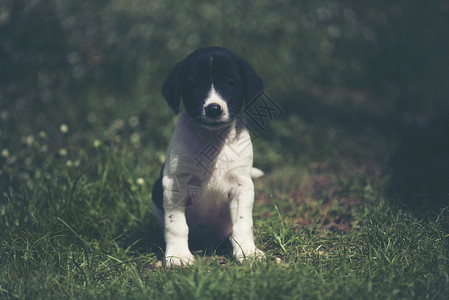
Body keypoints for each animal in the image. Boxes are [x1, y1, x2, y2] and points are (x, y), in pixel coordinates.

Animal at [152, 47, 264, 268]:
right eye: (194, 85)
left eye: (231, 82)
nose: (213, 109)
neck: (212, 139)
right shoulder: (175, 184)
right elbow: (176, 224)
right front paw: (178, 255)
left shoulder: (242, 186)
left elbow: (243, 222)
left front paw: (247, 251)